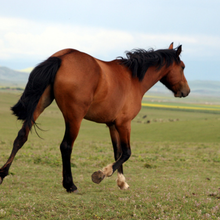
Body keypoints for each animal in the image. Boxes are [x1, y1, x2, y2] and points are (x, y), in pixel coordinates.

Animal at [0, 42, 189, 192]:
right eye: (183, 67)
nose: (186, 91)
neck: (133, 79)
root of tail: (62, 57)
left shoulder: (112, 125)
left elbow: (117, 152)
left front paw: (121, 182)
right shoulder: (124, 123)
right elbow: (127, 152)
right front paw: (101, 174)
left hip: (40, 104)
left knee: (21, 136)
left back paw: (3, 173)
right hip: (74, 118)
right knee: (66, 146)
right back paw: (70, 185)